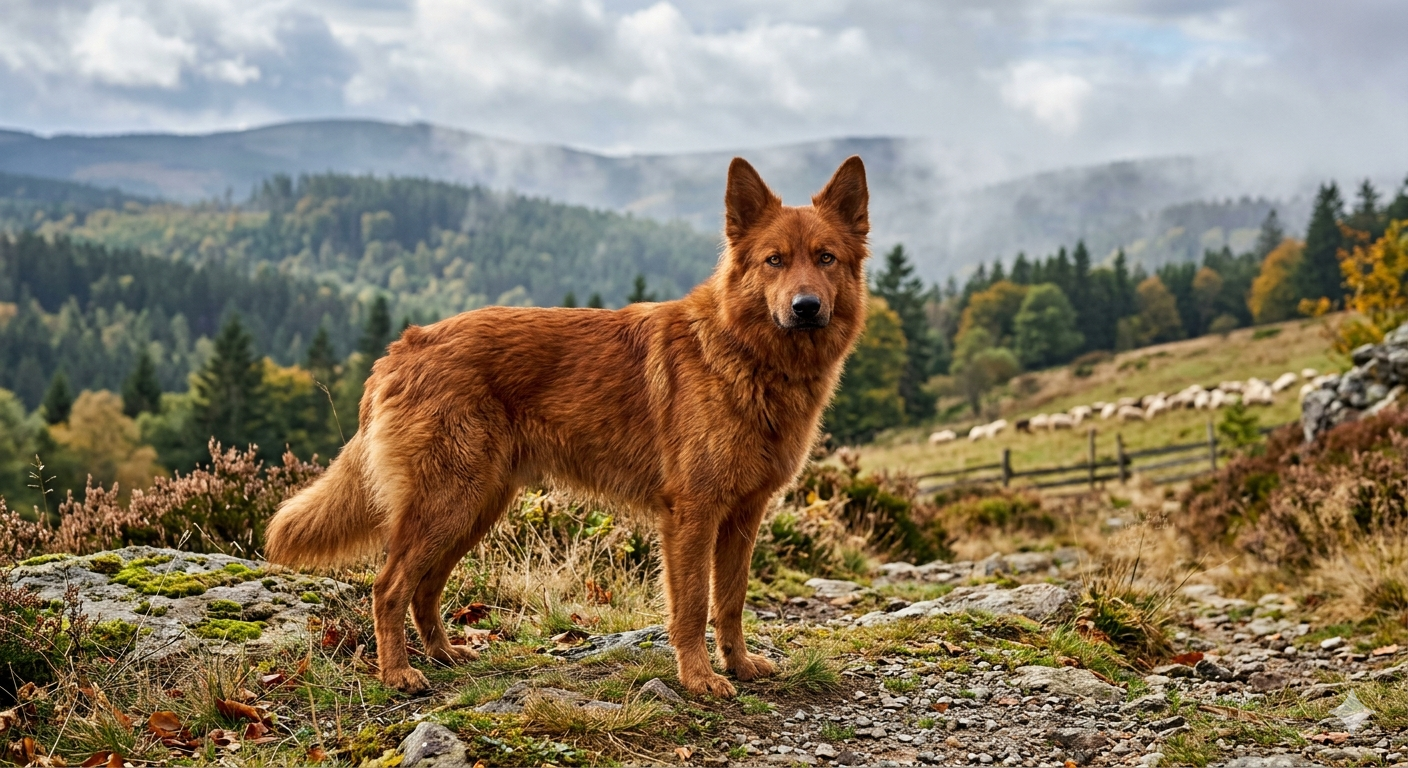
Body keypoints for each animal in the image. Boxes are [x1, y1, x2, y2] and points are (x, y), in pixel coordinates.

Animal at [264, 155, 871, 696]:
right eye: (774, 260)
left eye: (825, 258)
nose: (807, 306)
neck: (748, 356)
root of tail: (404, 346)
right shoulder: (693, 515)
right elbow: (693, 604)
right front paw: (699, 679)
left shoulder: (744, 516)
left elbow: (731, 601)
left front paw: (740, 666)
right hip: (448, 502)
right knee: (389, 586)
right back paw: (397, 674)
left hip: (474, 508)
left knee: (424, 587)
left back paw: (443, 654)